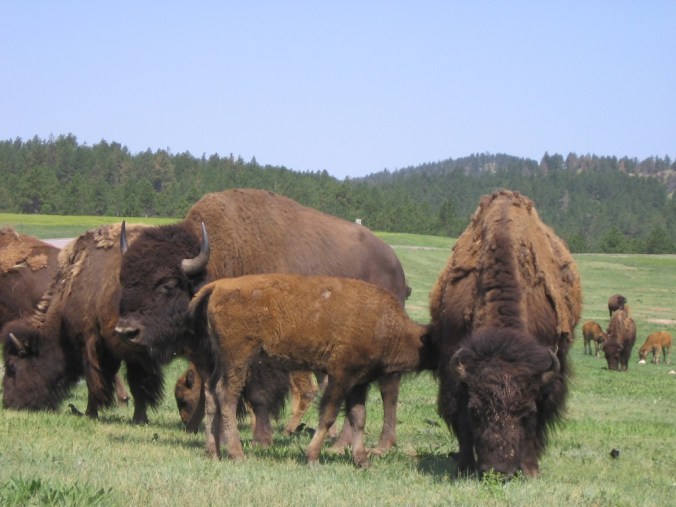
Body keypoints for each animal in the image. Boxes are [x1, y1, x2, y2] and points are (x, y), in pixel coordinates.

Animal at [116, 188, 410, 452]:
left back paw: (381, 446)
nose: (126, 330)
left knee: (389, 389)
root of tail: (396, 265)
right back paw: (340, 445)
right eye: (124, 281)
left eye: (166, 285)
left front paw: (261, 440)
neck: (224, 256)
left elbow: (257, 394)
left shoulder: (261, 354)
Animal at [429, 190, 582, 478]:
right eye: (476, 411)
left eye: (526, 411)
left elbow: (539, 422)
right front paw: (464, 466)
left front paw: (531, 469)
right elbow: (460, 420)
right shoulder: (455, 371)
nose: (499, 470)